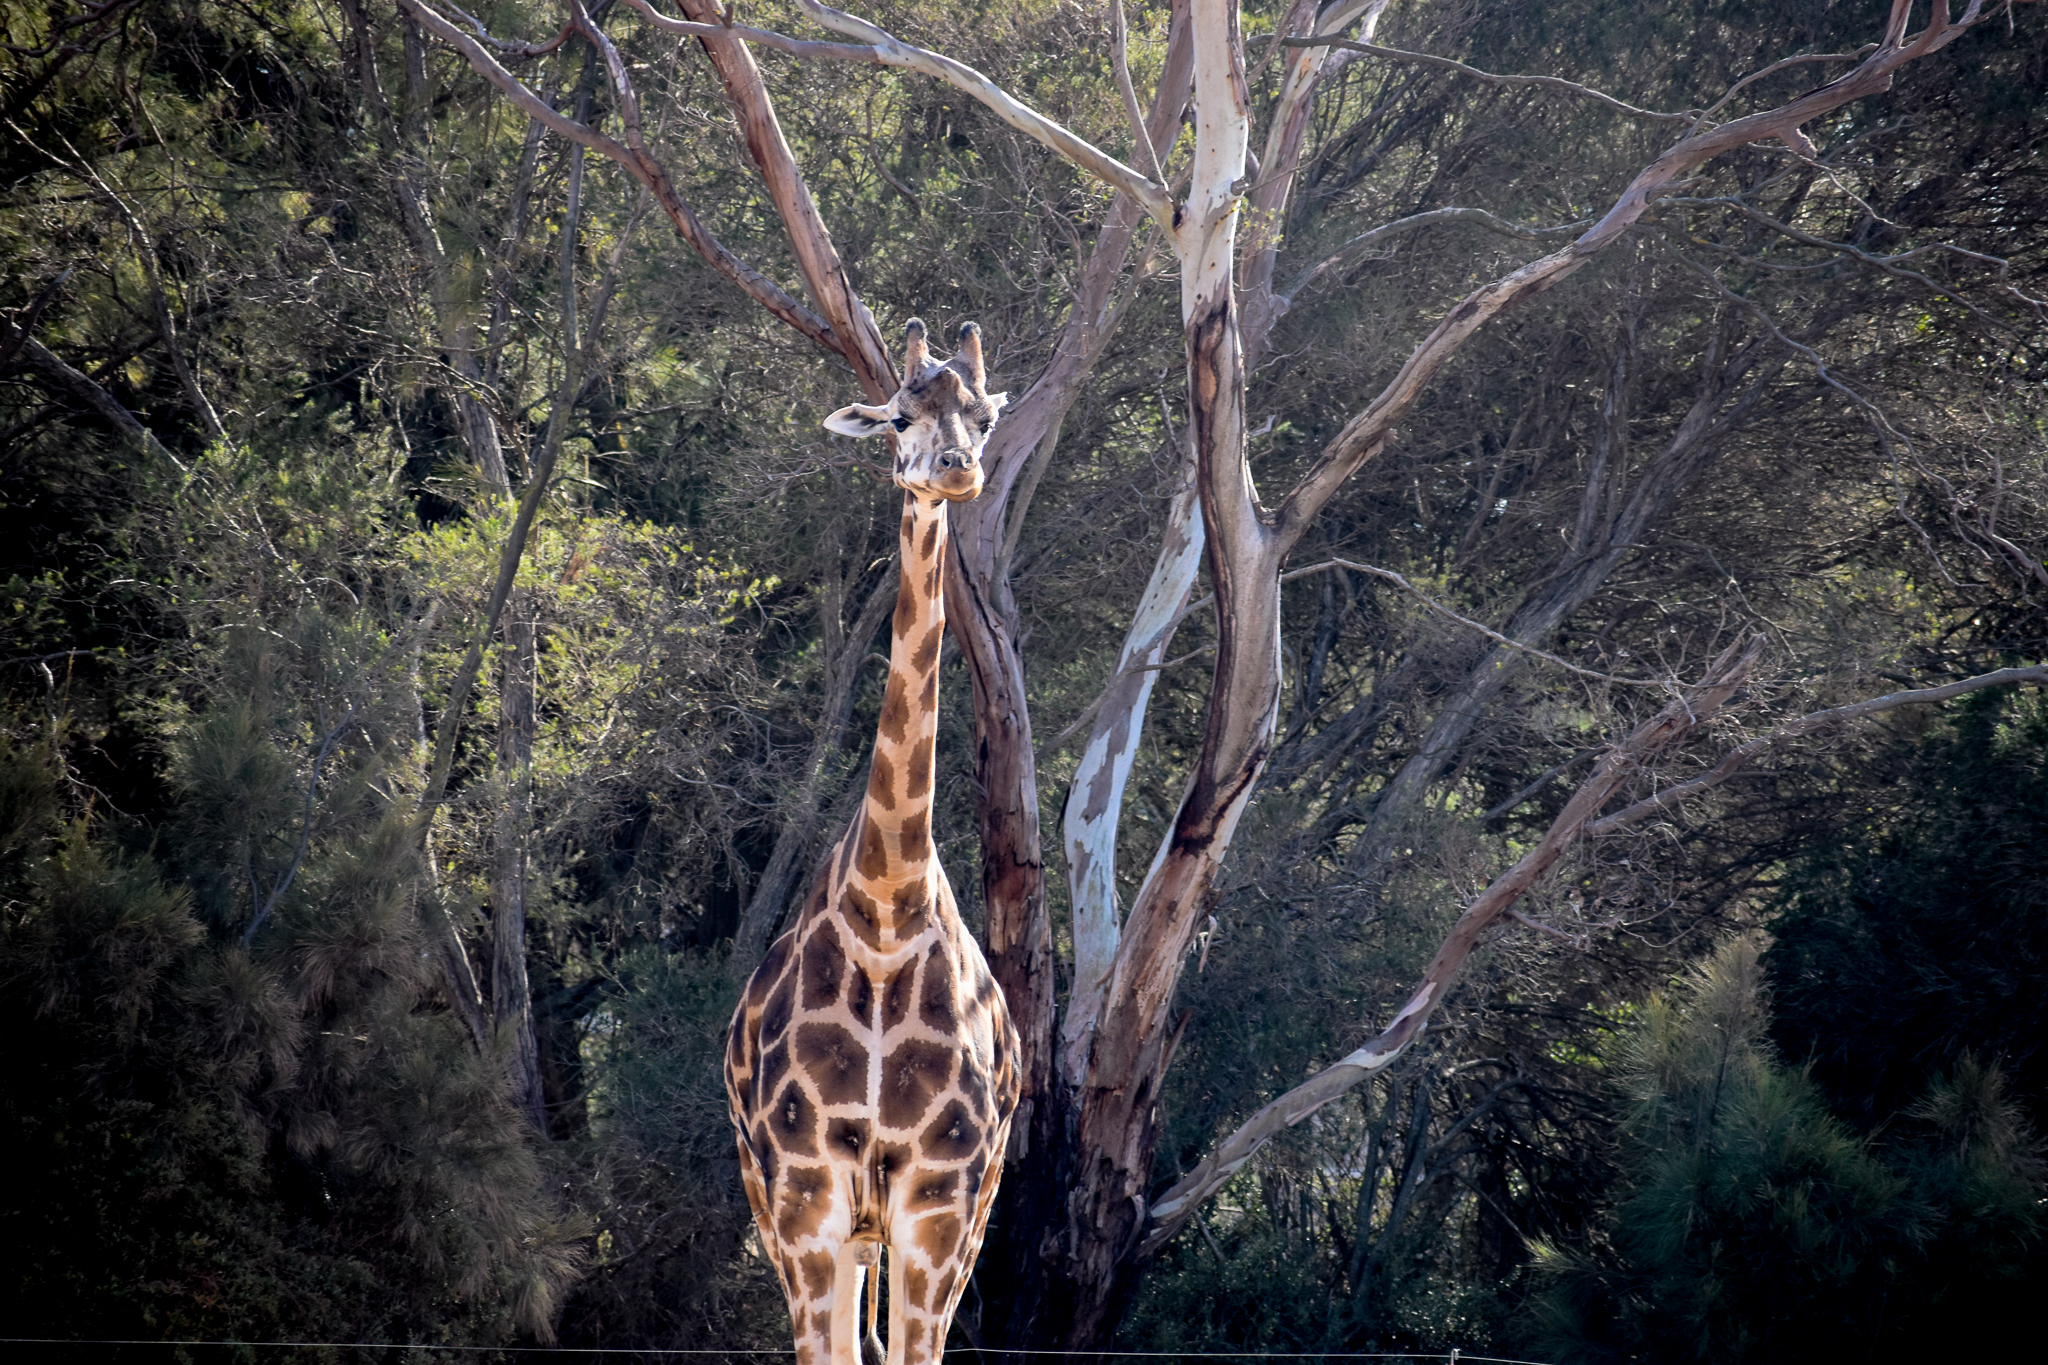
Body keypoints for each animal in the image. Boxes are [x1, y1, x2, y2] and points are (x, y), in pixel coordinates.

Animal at [726, 318, 1020, 1365]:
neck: (886, 909)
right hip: (792, 1208)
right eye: (899, 416)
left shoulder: (940, 1199)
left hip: (956, 1212)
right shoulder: (805, 1192)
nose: (957, 469)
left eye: (982, 414)